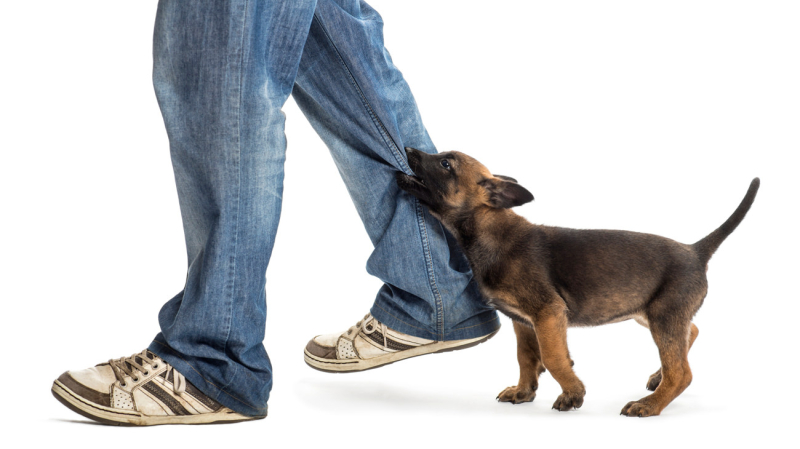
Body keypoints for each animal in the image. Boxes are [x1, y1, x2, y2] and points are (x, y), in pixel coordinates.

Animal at [396, 147, 760, 416]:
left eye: (446, 163)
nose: (408, 149)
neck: (488, 232)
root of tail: (696, 250)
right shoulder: (523, 321)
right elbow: (526, 357)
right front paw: (524, 390)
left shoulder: (548, 313)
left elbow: (554, 357)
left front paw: (573, 393)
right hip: (649, 313)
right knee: (690, 335)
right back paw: (658, 377)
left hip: (662, 317)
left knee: (682, 371)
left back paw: (650, 405)